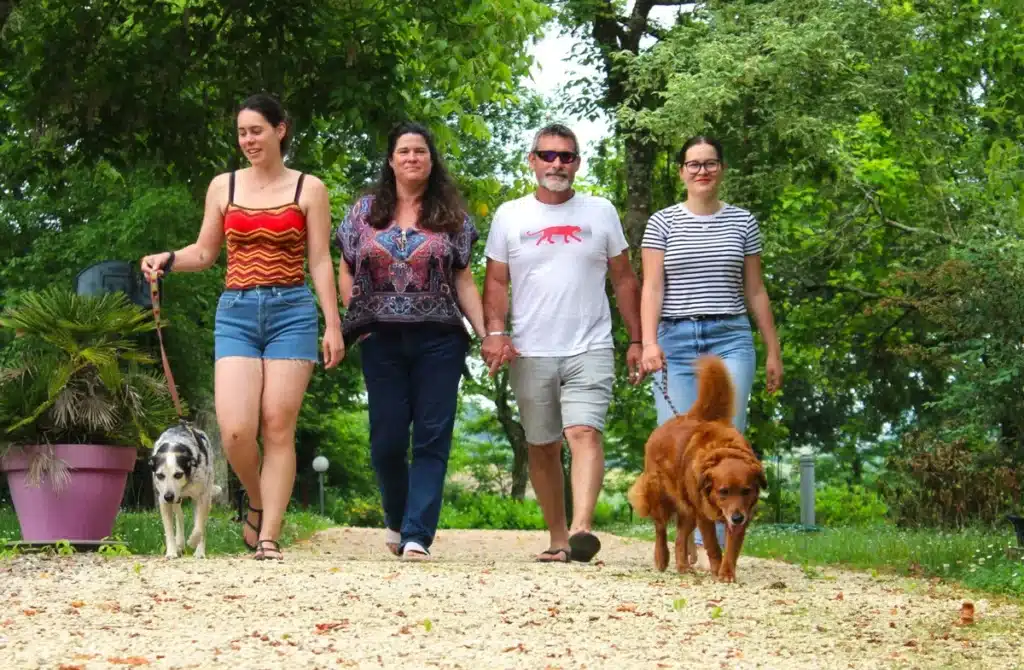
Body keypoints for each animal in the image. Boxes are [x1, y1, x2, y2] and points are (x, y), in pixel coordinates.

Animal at [626, 356, 765, 581]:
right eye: (723, 491)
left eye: (746, 491)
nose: (737, 518)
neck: (722, 450)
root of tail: (678, 418)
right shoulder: (704, 516)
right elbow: (713, 547)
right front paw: (717, 570)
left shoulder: (742, 514)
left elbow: (732, 549)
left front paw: (727, 573)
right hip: (662, 498)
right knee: (660, 529)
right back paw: (661, 558)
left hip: (688, 510)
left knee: (680, 538)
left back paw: (683, 566)